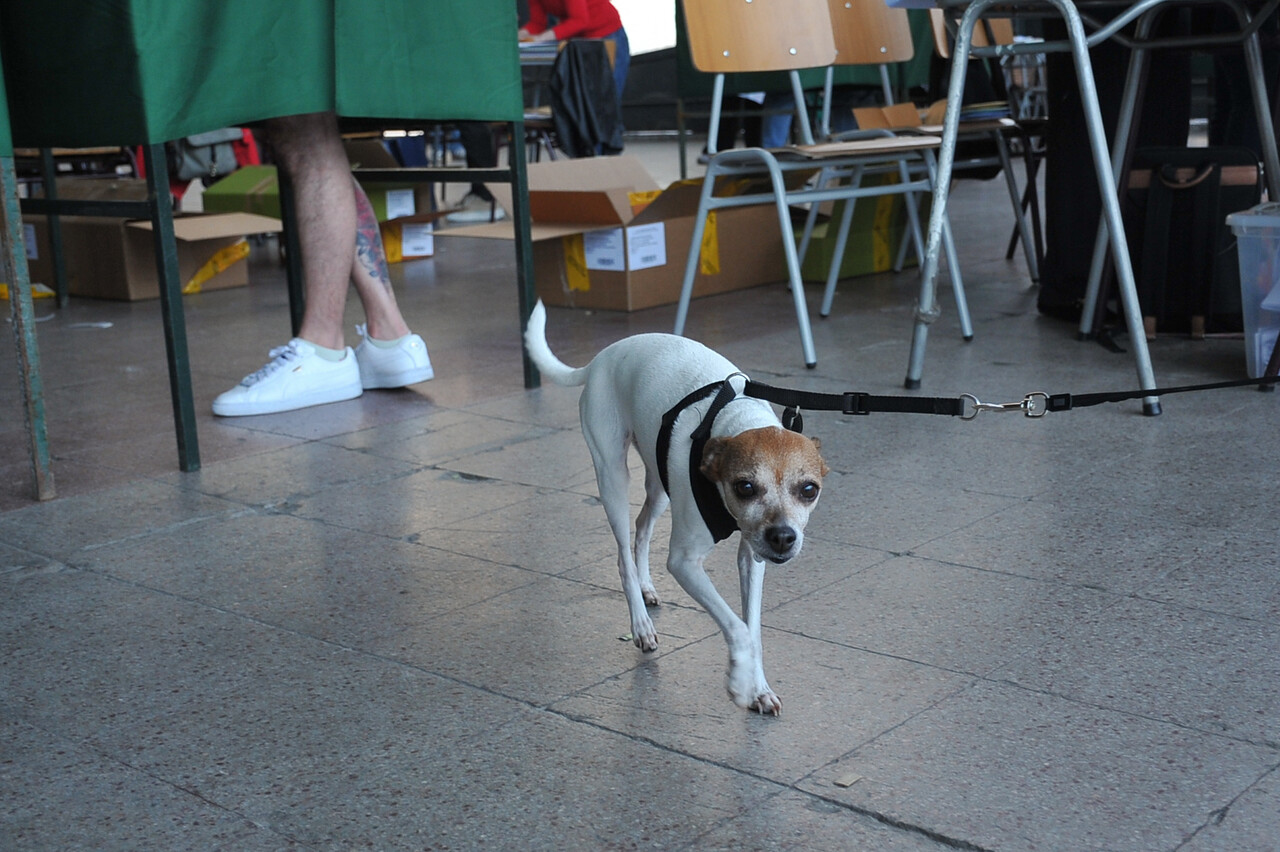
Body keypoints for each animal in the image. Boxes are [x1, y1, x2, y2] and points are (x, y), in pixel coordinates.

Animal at [522, 301, 829, 711]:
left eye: (809, 490)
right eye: (745, 487)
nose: (782, 537)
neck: (733, 421)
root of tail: (601, 358)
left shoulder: (752, 558)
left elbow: (752, 629)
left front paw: (758, 687)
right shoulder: (684, 562)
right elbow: (738, 628)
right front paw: (739, 681)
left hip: (660, 484)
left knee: (641, 527)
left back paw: (647, 587)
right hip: (612, 477)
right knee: (623, 553)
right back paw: (640, 624)